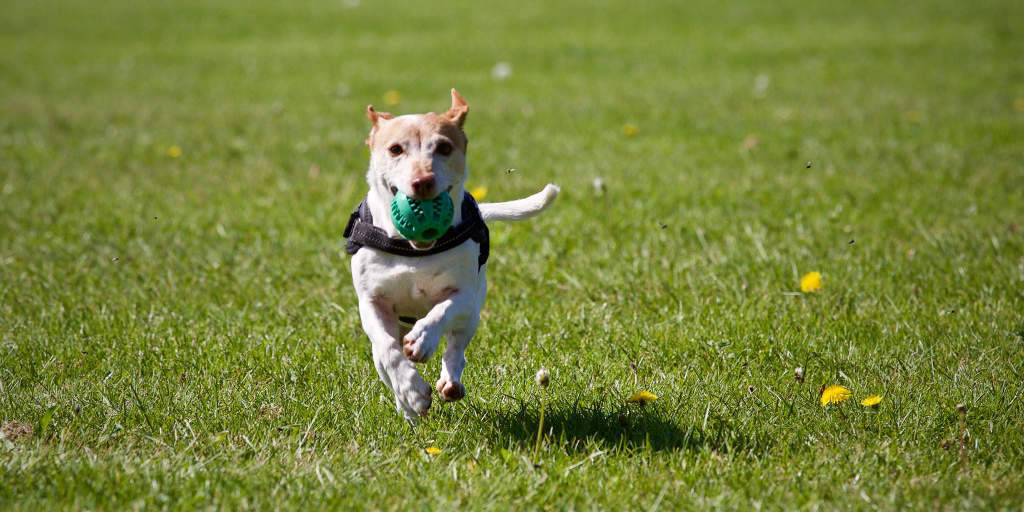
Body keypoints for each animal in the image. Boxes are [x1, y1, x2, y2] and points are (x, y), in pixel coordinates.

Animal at [352, 90, 561, 421]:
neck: (414, 251)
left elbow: (442, 311)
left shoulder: (463, 294)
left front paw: (423, 340)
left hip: (472, 315)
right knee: (384, 361)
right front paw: (412, 391)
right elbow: (388, 350)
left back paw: (449, 381)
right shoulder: (371, 301)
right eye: (395, 149)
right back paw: (408, 410)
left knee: (456, 348)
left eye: (444, 147)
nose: (423, 181)